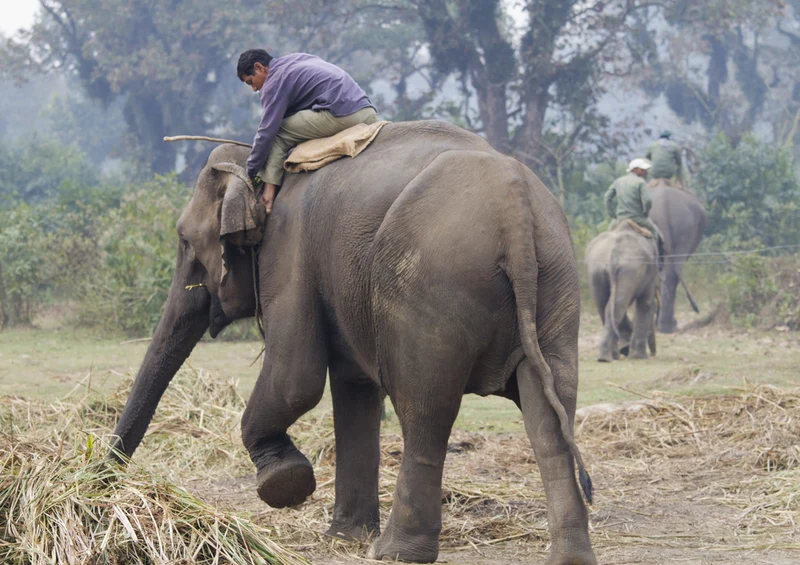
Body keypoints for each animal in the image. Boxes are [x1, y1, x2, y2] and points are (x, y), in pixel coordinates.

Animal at [108, 120, 596, 565]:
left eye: (184, 241)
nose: (104, 480)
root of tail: (515, 213)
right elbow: (353, 388)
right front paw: (344, 537)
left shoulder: (289, 253)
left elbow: (296, 380)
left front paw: (286, 482)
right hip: (556, 279)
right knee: (550, 416)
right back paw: (569, 558)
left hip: (431, 287)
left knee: (424, 411)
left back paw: (396, 553)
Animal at [585, 222, 660, 362]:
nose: (653, 354)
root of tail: (613, 253)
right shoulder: (650, 270)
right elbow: (646, 304)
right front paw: (638, 357)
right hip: (630, 269)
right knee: (618, 306)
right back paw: (609, 357)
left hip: (595, 270)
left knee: (605, 306)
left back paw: (607, 357)